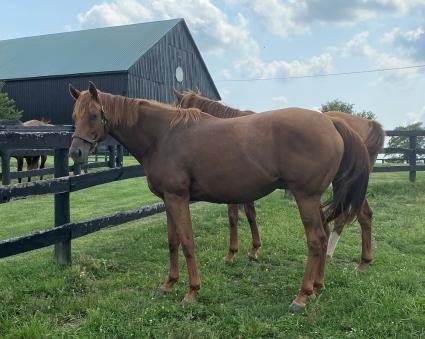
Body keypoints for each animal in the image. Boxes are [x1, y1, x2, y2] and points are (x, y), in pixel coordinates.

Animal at [173, 90, 384, 270]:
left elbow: (234, 217)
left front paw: (232, 253)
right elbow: (250, 214)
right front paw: (254, 250)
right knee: (363, 215)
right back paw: (362, 262)